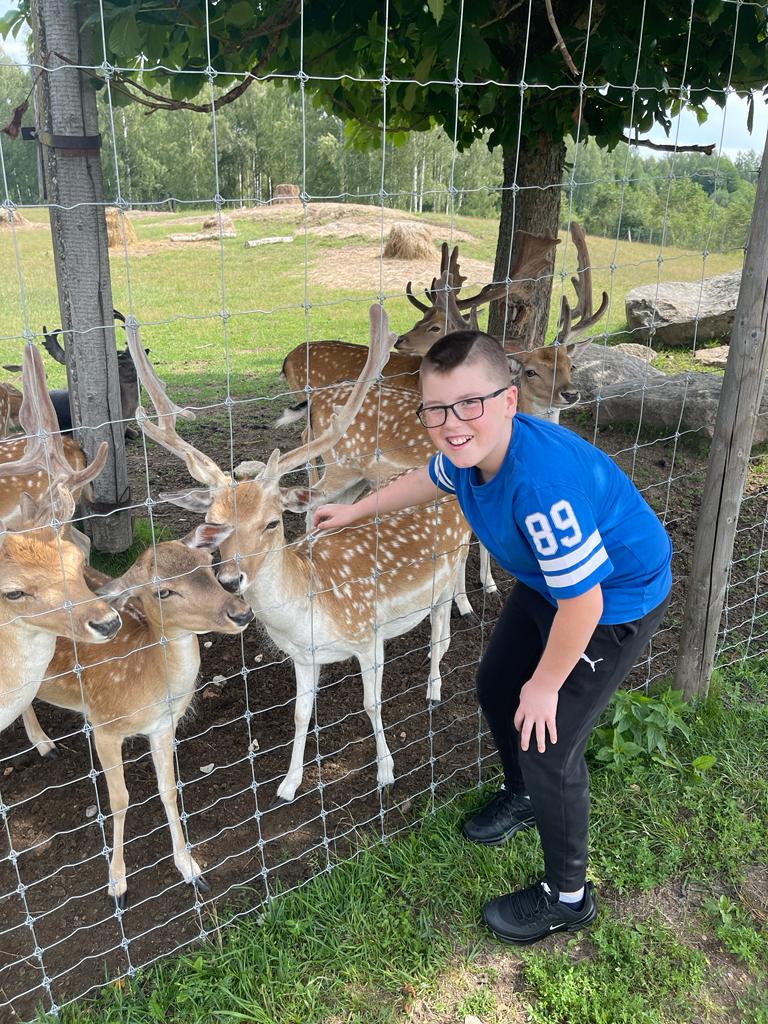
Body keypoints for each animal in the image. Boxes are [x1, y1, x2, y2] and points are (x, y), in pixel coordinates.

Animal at [21, 531, 254, 907]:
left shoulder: (163, 727)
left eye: (209, 563)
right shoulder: (104, 724)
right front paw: (117, 885)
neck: (149, 681)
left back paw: (45, 744)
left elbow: (169, 788)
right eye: (163, 591)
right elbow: (119, 800)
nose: (241, 612)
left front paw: (191, 868)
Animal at [125, 306, 472, 804]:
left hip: (450, 564)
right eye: (212, 523)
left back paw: (434, 688)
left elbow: (371, 702)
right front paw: (288, 784)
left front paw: (386, 771)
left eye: (272, 523)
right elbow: (300, 714)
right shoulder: (303, 658)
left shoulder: (367, 635)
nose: (231, 579)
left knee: (441, 629)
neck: (311, 612)